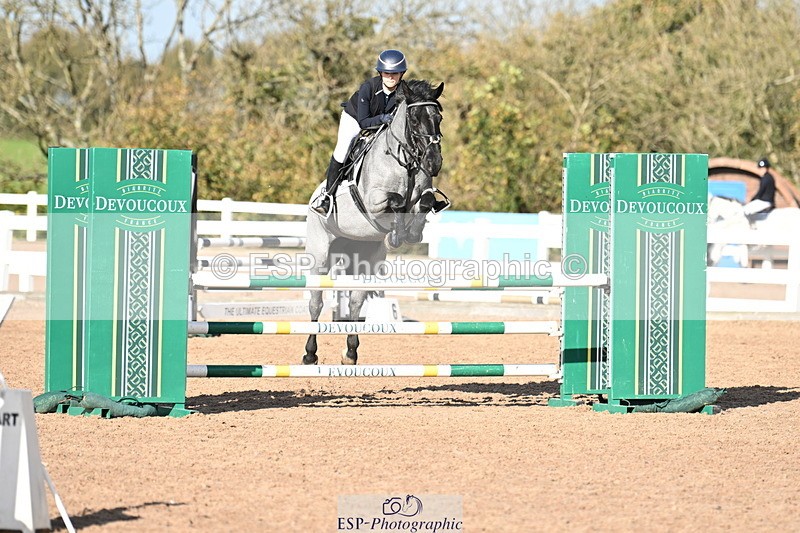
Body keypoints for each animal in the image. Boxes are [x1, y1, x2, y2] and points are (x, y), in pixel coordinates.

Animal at [302, 79, 448, 365]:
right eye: (414, 119)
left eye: (439, 118)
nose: (433, 163)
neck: (406, 160)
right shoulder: (373, 201)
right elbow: (395, 202)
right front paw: (396, 235)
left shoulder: (422, 194)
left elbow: (424, 202)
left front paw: (412, 233)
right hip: (320, 255)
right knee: (315, 302)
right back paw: (310, 354)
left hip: (365, 258)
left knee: (356, 302)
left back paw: (350, 352)